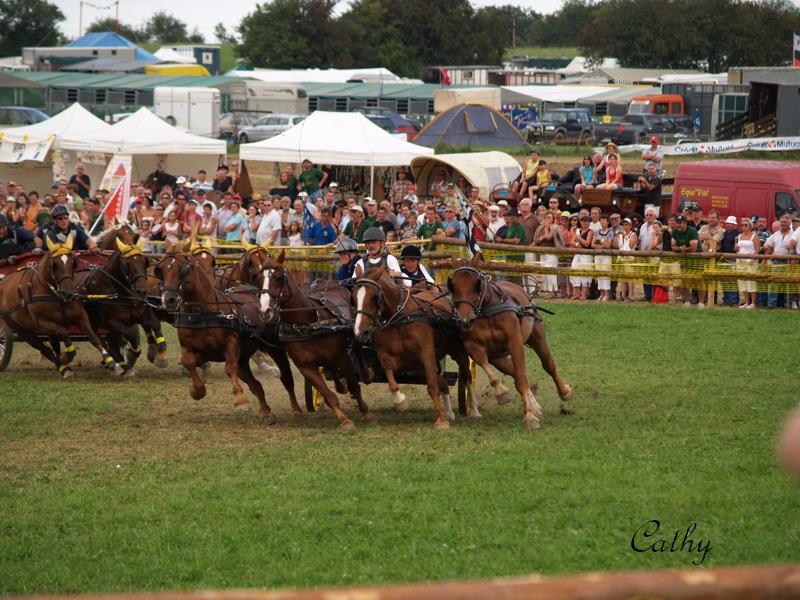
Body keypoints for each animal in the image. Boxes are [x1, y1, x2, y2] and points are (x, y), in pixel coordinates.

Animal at [0, 236, 124, 380]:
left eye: (73, 262)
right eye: (55, 264)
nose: (68, 293)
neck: (56, 294)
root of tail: (4, 281)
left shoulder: (81, 318)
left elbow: (94, 338)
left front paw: (112, 364)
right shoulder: (43, 324)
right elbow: (64, 333)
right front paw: (67, 356)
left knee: (53, 345)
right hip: (21, 329)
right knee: (44, 348)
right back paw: (63, 367)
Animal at [156, 240, 282, 422]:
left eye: (184, 269)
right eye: (161, 269)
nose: (169, 299)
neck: (202, 313)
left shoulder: (232, 344)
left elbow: (229, 368)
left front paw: (240, 400)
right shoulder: (194, 350)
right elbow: (188, 362)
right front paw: (197, 391)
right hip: (243, 360)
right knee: (256, 384)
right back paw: (265, 411)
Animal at [262, 248, 376, 426]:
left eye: (279, 277)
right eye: (258, 278)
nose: (265, 310)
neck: (308, 323)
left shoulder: (342, 357)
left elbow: (354, 384)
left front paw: (366, 412)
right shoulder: (305, 366)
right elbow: (328, 395)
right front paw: (344, 420)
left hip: (356, 328)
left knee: (357, 350)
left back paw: (366, 374)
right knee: (331, 370)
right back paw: (340, 385)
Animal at [352, 270, 482, 428]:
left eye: (374, 297)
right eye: (353, 296)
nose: (360, 332)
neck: (400, 317)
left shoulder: (426, 353)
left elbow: (432, 386)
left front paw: (440, 420)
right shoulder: (388, 355)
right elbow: (391, 378)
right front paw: (400, 402)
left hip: (457, 351)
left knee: (467, 376)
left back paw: (474, 410)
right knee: (443, 382)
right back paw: (450, 413)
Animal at [446, 255, 572, 428]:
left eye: (476, 284)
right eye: (453, 285)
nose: (465, 320)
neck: (487, 311)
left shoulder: (515, 343)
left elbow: (522, 378)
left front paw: (530, 417)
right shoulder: (474, 347)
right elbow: (492, 371)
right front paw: (503, 393)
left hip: (537, 338)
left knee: (548, 366)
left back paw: (564, 392)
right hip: (498, 357)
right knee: (514, 372)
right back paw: (533, 405)